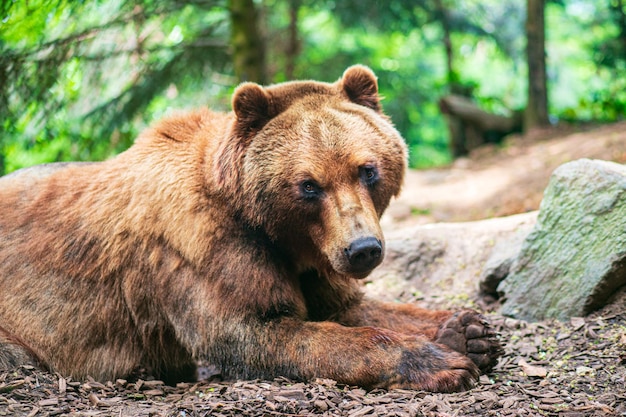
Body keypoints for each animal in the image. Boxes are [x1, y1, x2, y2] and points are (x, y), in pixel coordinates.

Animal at [0, 64, 500, 390]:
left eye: (367, 169)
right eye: (308, 185)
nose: (363, 249)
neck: (281, 236)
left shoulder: (315, 260)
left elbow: (350, 306)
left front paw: (468, 332)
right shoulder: (205, 250)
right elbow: (257, 330)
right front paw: (442, 363)